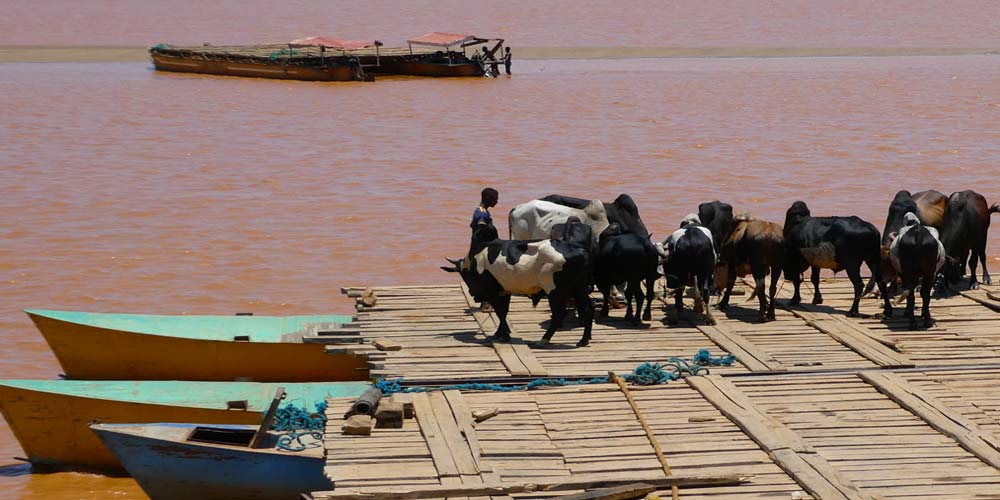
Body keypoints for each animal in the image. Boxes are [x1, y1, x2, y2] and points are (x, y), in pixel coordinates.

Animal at [440, 223, 592, 348]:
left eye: (463, 274)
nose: (473, 293)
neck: (477, 256)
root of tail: (582, 251)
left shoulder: (494, 291)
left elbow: (500, 312)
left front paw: (504, 334)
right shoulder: (504, 290)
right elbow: (504, 311)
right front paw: (500, 333)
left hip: (555, 292)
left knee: (559, 314)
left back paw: (543, 340)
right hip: (579, 288)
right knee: (587, 308)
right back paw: (583, 340)